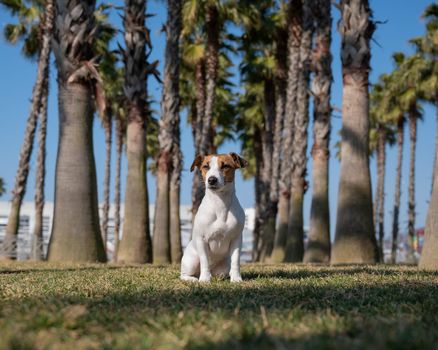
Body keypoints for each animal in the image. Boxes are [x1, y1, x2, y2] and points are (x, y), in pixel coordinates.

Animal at [181, 152, 248, 284]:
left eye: (225, 166)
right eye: (206, 166)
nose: (212, 180)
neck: (219, 203)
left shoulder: (236, 239)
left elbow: (236, 260)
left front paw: (236, 278)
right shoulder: (202, 240)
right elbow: (204, 261)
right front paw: (204, 280)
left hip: (224, 265)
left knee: (223, 271)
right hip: (191, 261)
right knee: (184, 274)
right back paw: (194, 279)